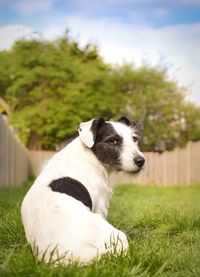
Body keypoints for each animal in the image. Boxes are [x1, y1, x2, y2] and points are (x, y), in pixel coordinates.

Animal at [21, 116, 145, 264]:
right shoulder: (101, 206)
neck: (89, 154)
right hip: (118, 236)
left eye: (134, 138)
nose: (141, 161)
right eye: (112, 140)